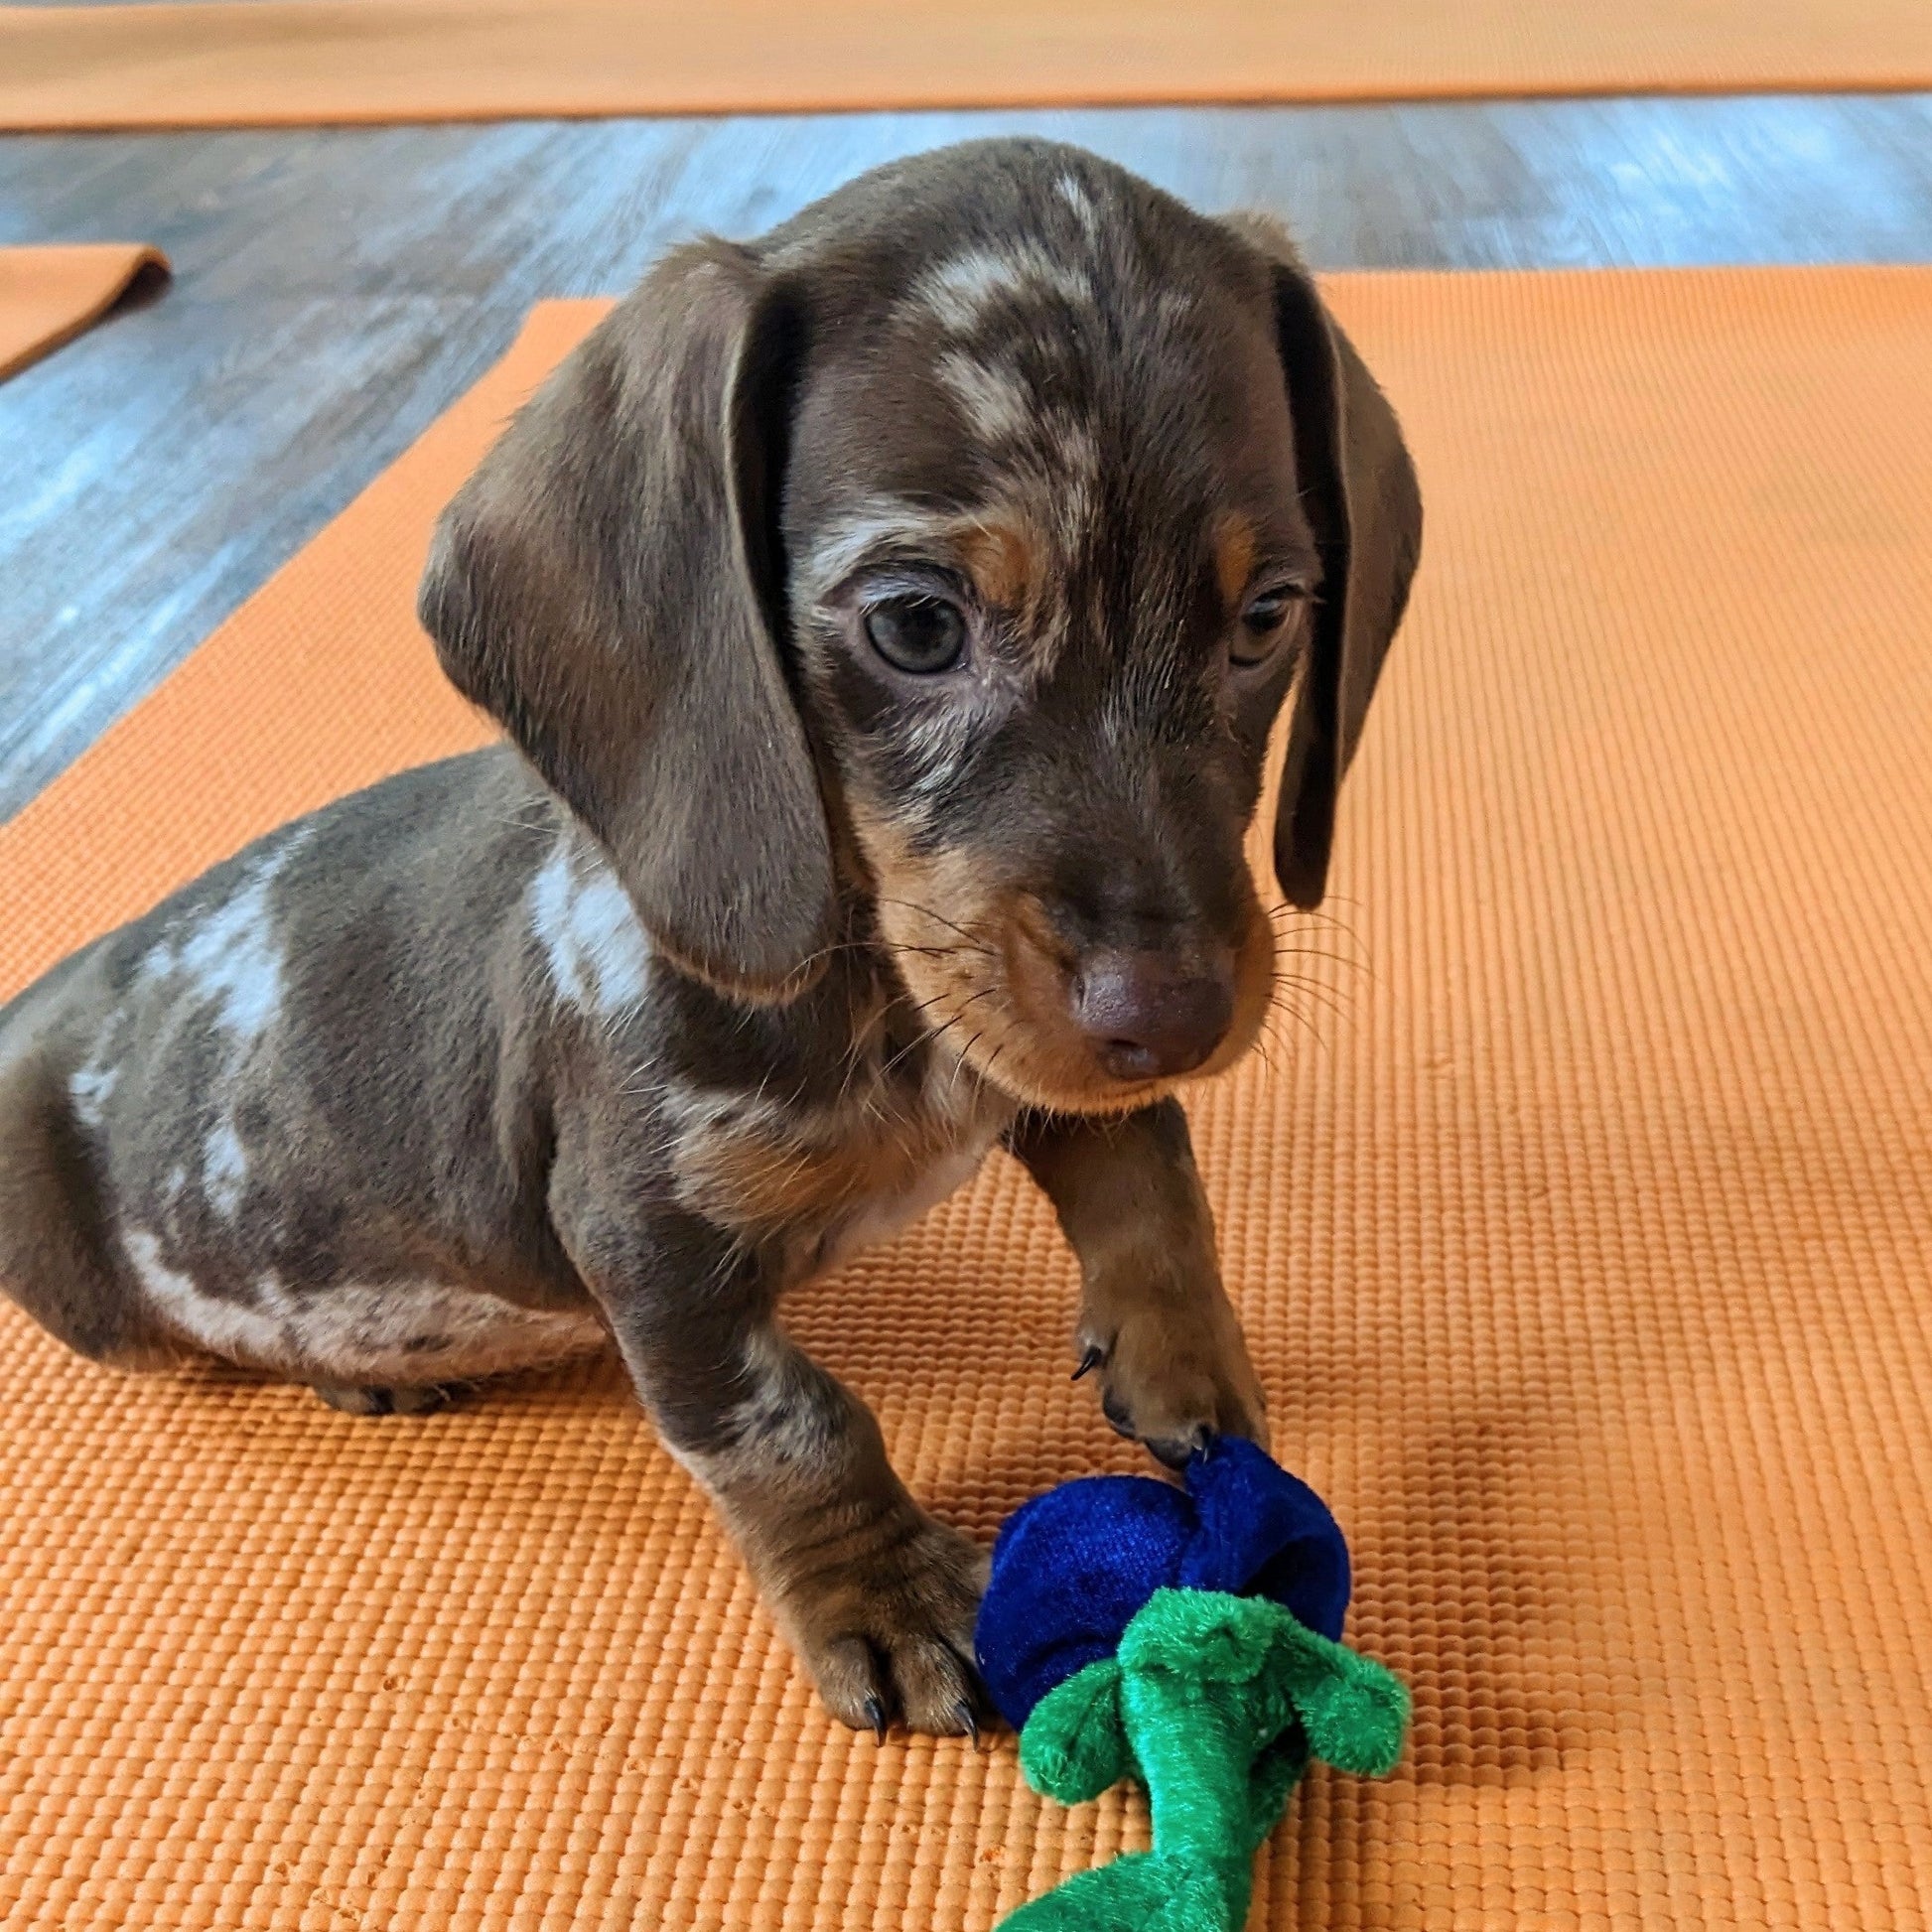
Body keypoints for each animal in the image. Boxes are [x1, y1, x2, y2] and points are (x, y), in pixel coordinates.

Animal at [0, 136, 1422, 1738]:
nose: (1174, 1014)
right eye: (915, 624)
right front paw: (882, 1587)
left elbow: (1146, 1168)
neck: (868, 984)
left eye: (1266, 614)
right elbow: (785, 1422)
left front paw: (1181, 1350)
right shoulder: (648, 1238)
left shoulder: (1020, 1038)